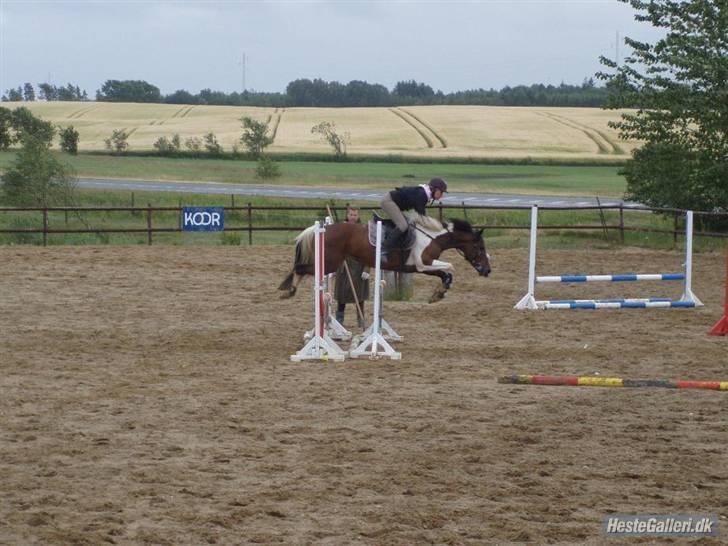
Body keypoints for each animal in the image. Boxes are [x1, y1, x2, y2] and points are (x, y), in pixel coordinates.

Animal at [278, 211, 490, 302]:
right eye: (479, 247)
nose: (487, 270)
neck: (433, 237)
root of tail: (323, 229)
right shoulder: (423, 264)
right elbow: (450, 268)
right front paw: (440, 292)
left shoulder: (421, 267)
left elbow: (445, 274)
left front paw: (439, 293)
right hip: (330, 262)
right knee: (301, 268)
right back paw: (290, 290)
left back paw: (290, 290)